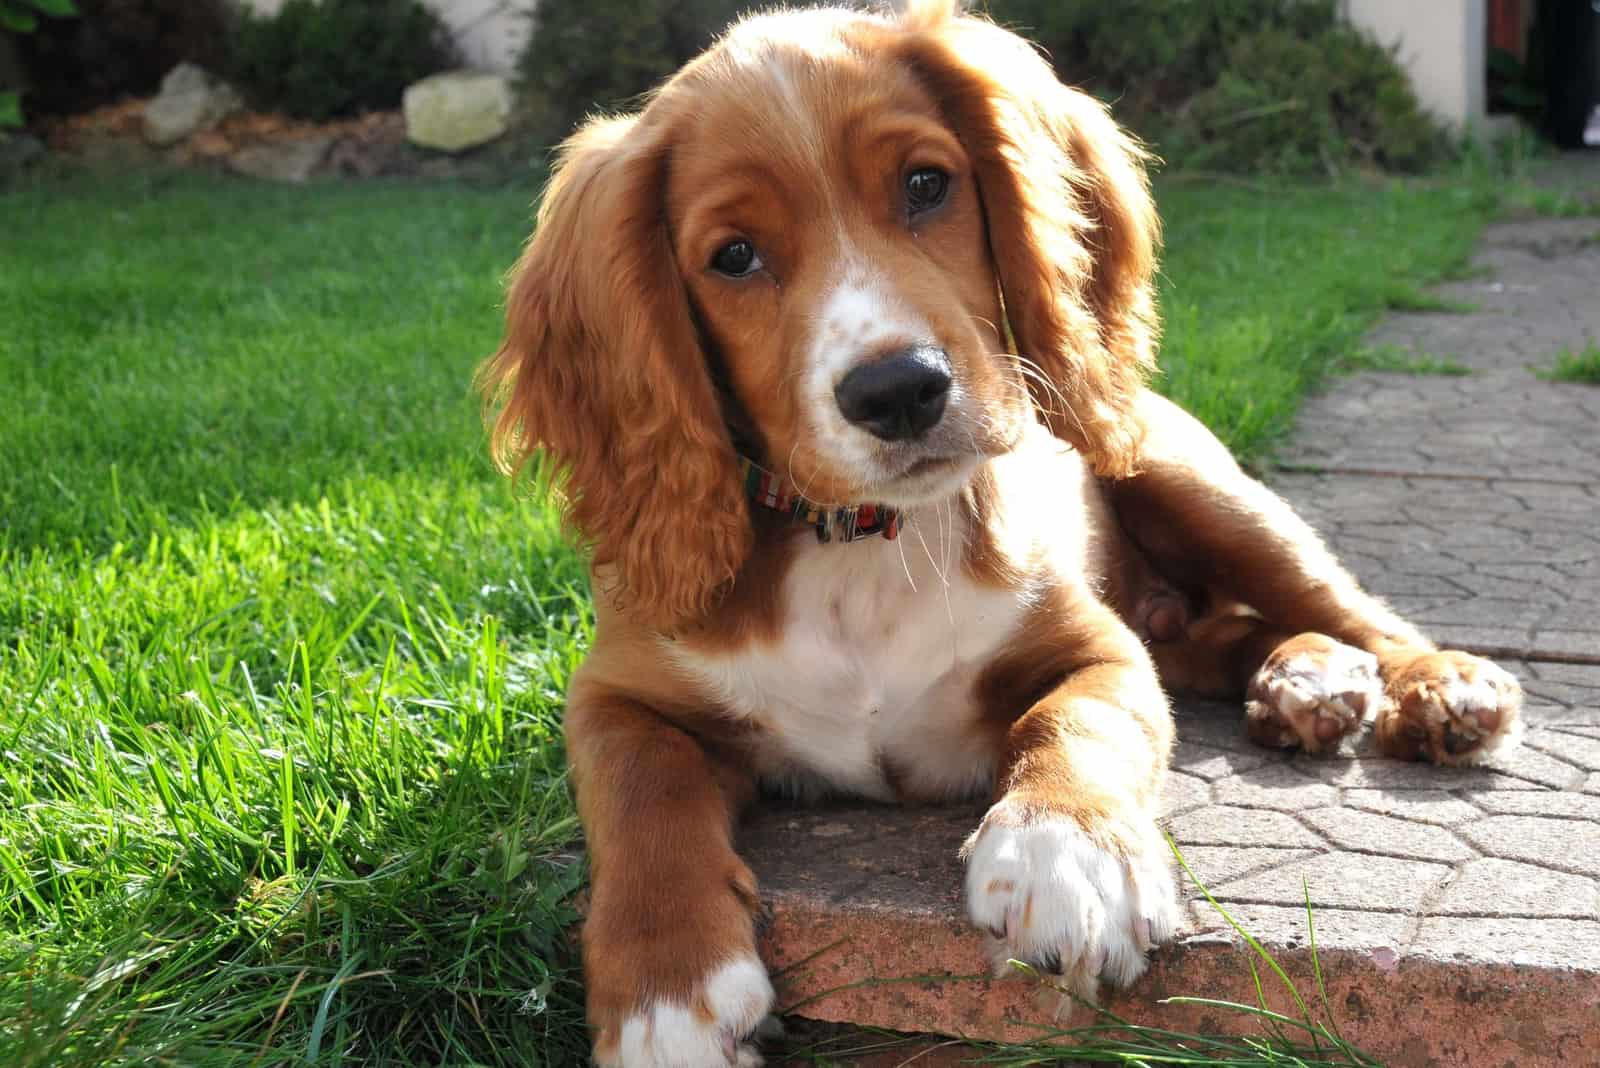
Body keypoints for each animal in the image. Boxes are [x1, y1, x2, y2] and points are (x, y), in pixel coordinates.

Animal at [476, 4, 1523, 1061]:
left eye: (925, 185)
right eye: (733, 256)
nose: (900, 390)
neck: (865, 545)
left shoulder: (1100, 649)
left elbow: (1076, 717)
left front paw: (1066, 855)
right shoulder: (615, 693)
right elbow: (642, 793)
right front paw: (666, 993)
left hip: (1188, 481)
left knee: (1344, 606)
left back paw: (1429, 685)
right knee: (1224, 635)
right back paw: (1303, 686)